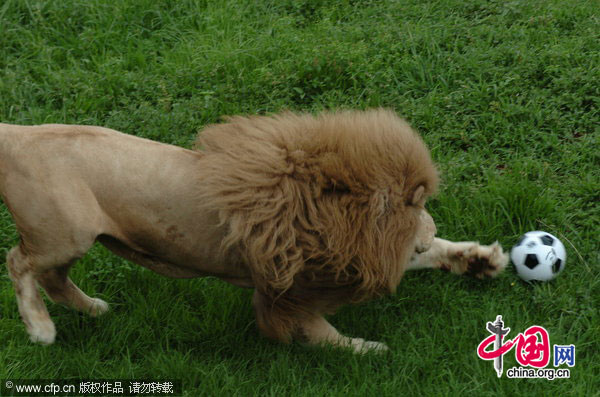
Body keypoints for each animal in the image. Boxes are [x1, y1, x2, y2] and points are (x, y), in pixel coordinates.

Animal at [0, 109, 506, 352]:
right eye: (414, 204)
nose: (431, 225)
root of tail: (17, 135)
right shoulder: (288, 286)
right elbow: (318, 330)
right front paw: (366, 350)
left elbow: (431, 255)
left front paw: (478, 259)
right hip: (65, 232)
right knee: (18, 262)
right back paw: (41, 328)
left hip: (73, 241)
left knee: (52, 278)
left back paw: (94, 310)